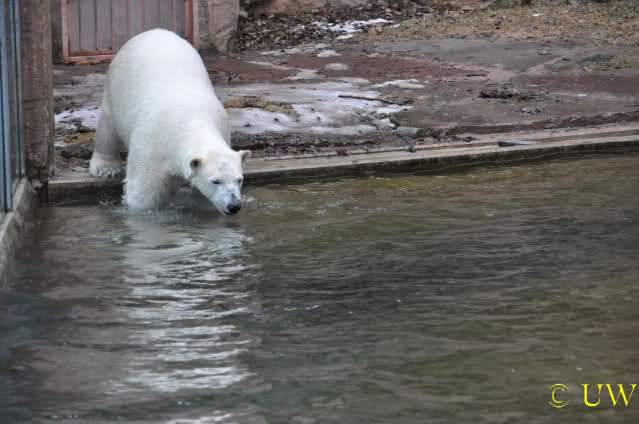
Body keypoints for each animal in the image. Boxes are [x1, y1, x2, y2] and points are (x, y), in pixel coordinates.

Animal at [88, 29, 250, 215]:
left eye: (239, 179)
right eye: (215, 181)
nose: (234, 206)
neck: (192, 121)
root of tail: (153, 31)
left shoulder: (223, 125)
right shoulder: (151, 142)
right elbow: (143, 194)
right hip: (116, 84)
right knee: (108, 127)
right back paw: (106, 168)